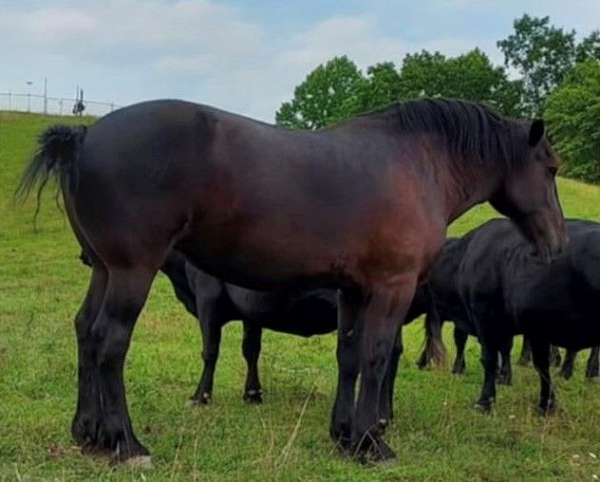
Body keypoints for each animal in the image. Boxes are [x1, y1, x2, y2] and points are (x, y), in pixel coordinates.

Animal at [16, 98, 564, 464]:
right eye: (552, 168)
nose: (557, 240)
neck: (416, 165)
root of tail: (83, 137)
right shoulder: (390, 288)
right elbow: (374, 356)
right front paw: (371, 443)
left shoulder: (354, 291)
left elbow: (349, 356)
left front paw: (344, 435)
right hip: (132, 272)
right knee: (110, 341)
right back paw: (125, 442)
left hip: (105, 270)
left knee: (86, 334)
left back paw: (88, 432)